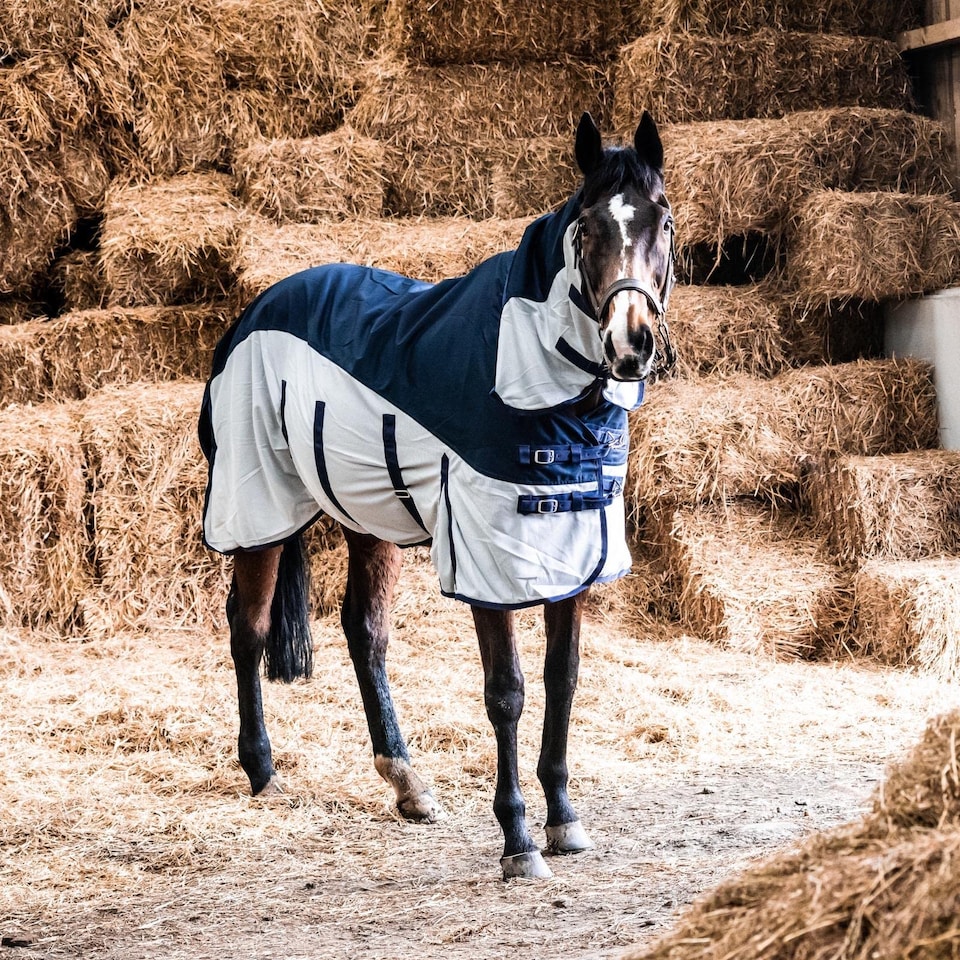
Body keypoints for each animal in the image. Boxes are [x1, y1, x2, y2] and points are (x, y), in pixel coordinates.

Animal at [199, 111, 676, 880]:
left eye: (661, 221)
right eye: (586, 228)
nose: (630, 343)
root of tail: (254, 310)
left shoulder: (574, 554)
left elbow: (564, 678)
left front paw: (563, 817)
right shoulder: (490, 561)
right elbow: (507, 693)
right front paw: (518, 841)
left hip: (367, 512)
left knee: (364, 630)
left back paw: (406, 782)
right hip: (259, 503)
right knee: (249, 627)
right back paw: (264, 771)